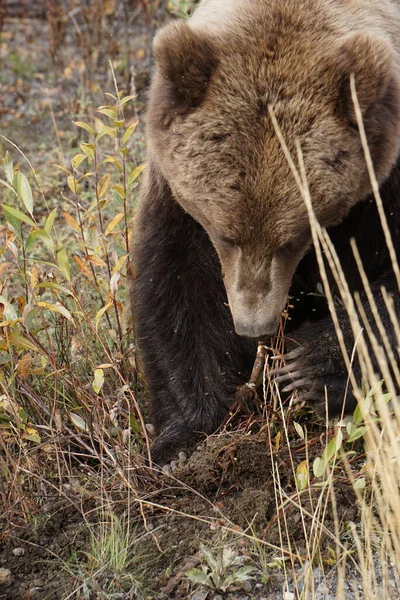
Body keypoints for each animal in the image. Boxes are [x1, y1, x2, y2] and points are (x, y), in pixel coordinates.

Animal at [133, 0, 400, 464]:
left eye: (293, 238)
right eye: (225, 234)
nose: (254, 325)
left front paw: (308, 366)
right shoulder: (172, 197)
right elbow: (177, 286)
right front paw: (181, 437)